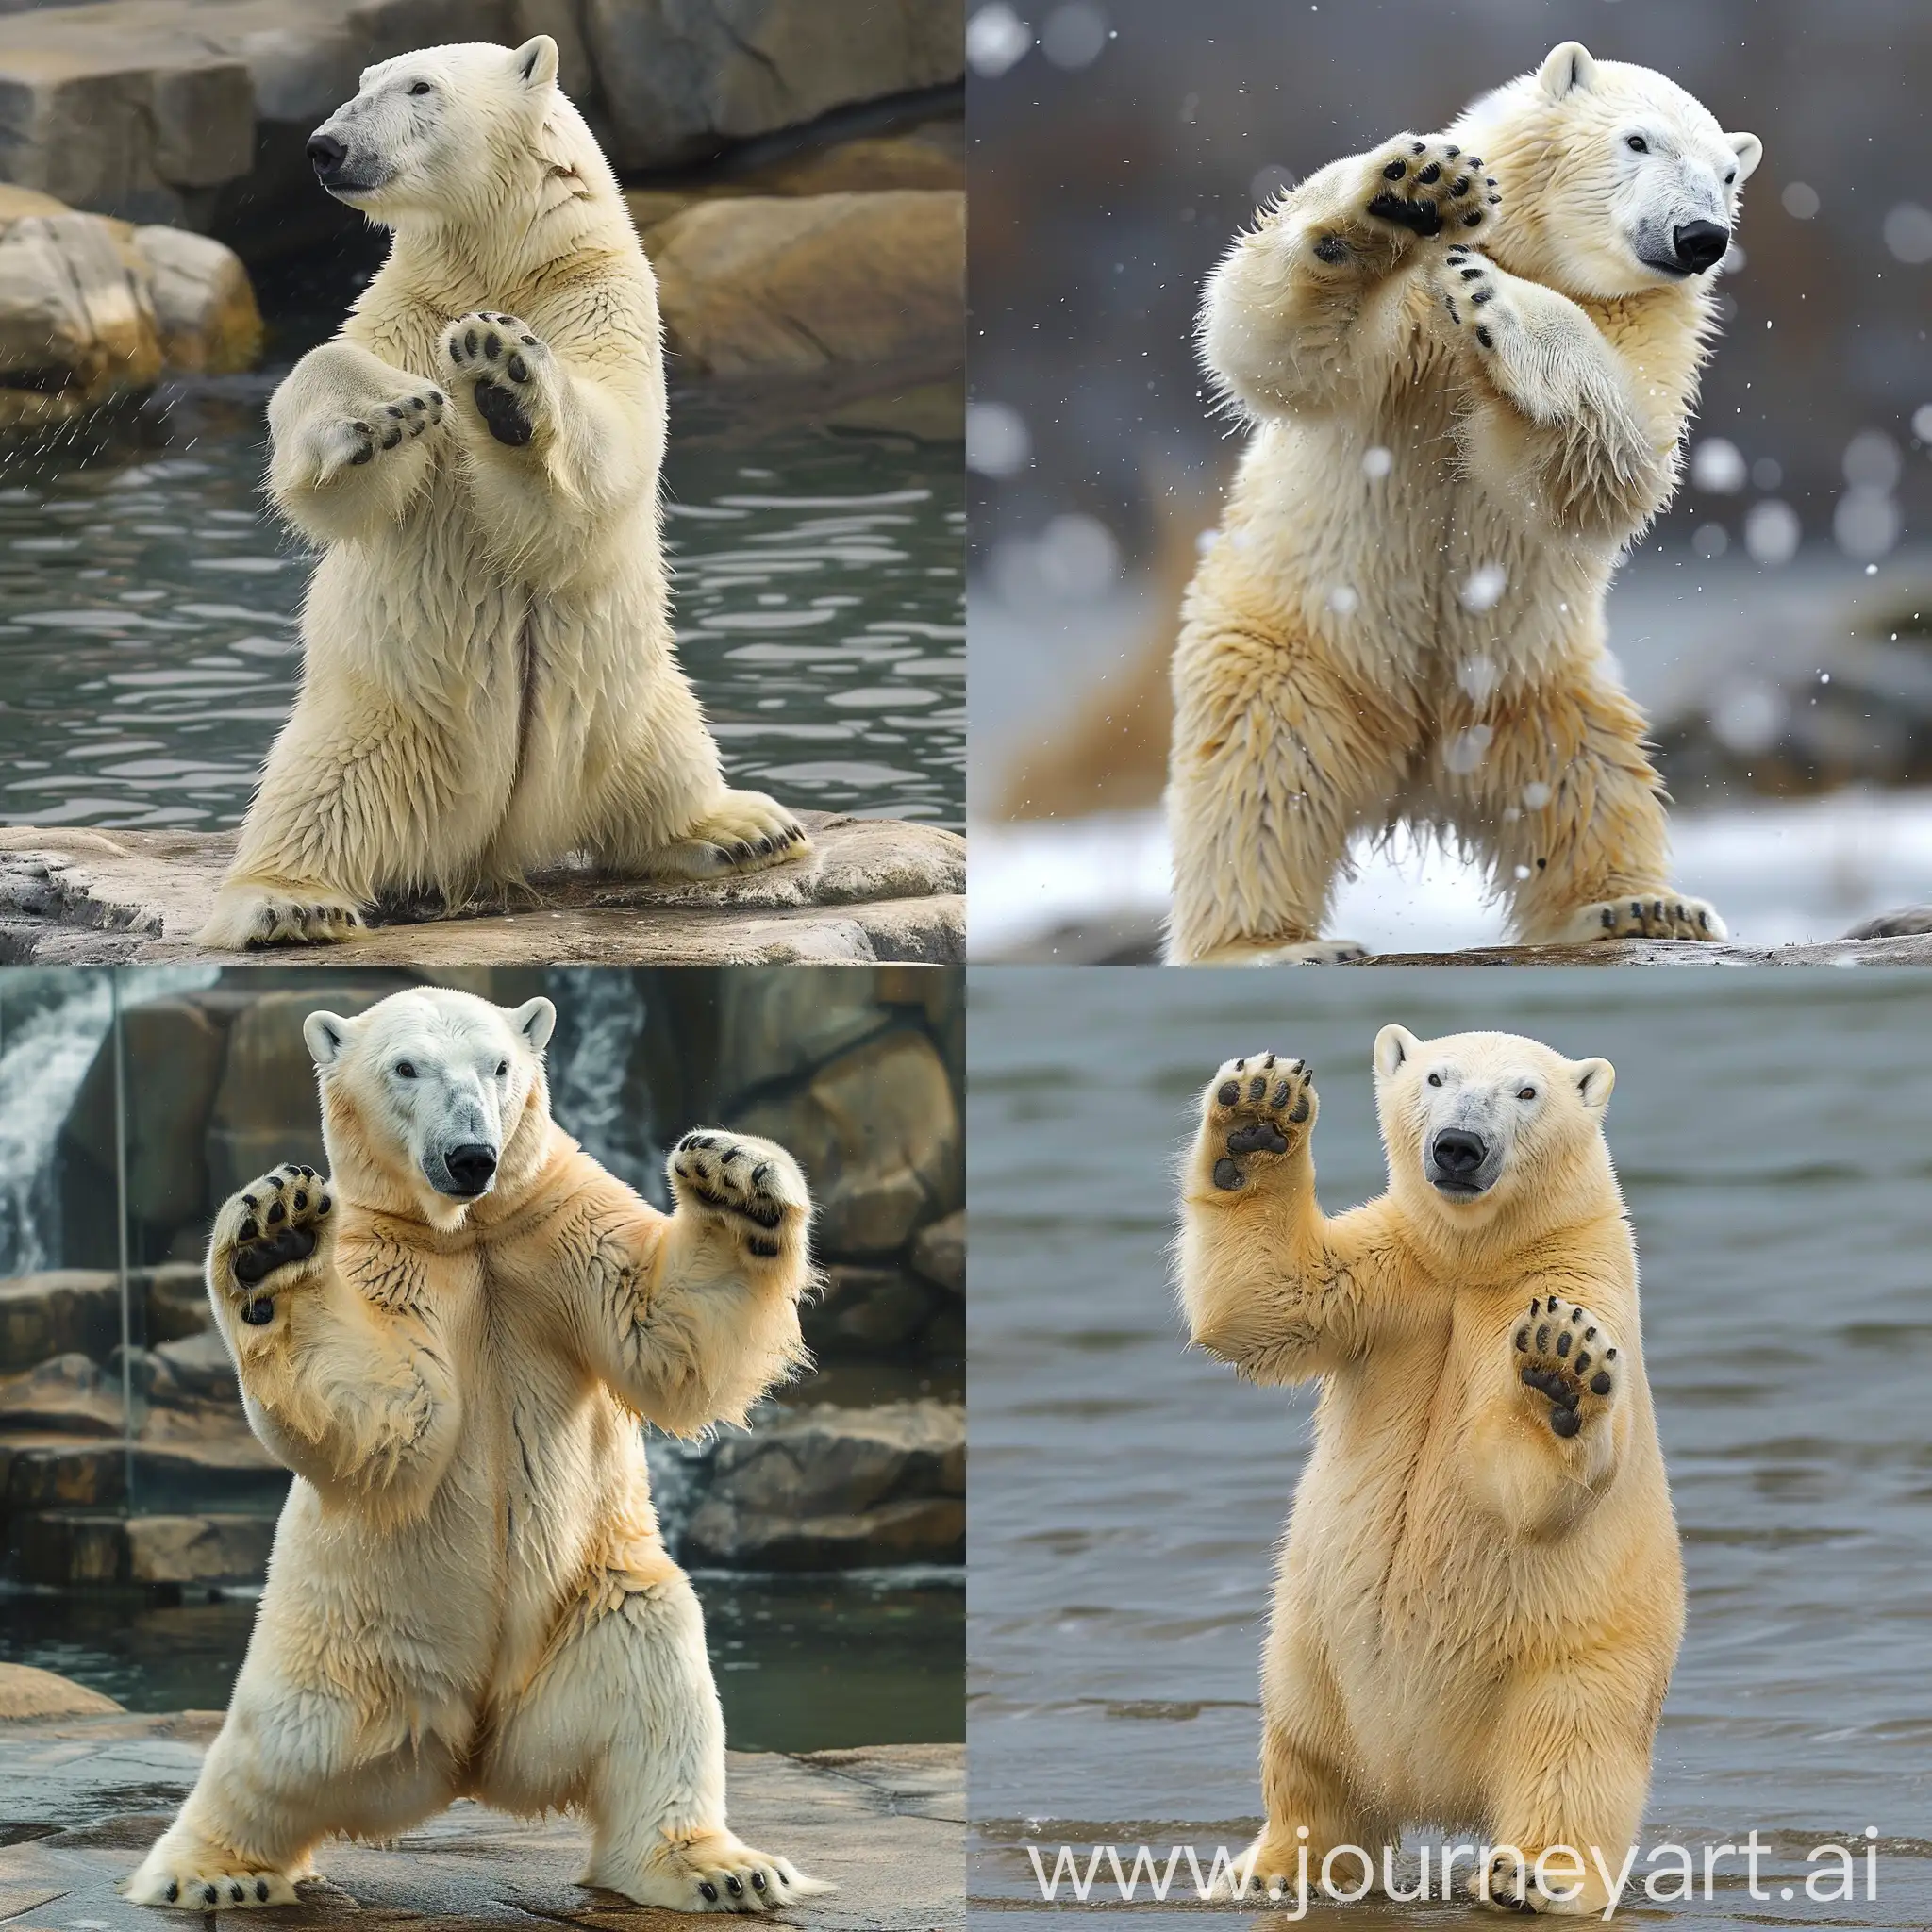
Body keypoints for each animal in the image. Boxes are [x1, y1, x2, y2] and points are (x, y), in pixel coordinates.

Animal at [121, 996, 830, 1916]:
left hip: (594, 1607)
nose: (471, 1156)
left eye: (499, 1066)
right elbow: (384, 1408)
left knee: (660, 1683)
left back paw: (718, 1868)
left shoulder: (561, 1224)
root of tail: (473, 1752)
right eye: (406, 1067)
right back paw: (211, 1873)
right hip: (342, 1642)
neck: (467, 1236)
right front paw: (273, 1238)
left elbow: (664, 1328)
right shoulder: (386, 1262)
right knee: (270, 1752)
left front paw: (734, 1179)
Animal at [206, 39, 815, 950]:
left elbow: (606, 446)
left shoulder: (601, 292)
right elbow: (337, 460)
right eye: (362, 83)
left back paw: (741, 828)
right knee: (316, 796)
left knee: (668, 765)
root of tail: (496, 844)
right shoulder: (407, 307)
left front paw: (501, 374)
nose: (324, 147)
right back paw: (289, 904)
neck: (505, 256)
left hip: (632, 702)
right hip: (374, 717)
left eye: (419, 86)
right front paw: (390, 413)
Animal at [1166, 48, 1761, 966]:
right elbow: (1279, 347)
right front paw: (1410, 193)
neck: (1538, 250)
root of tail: (1416, 772)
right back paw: (1270, 943)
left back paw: (1637, 906)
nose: (1701, 236)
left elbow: (1607, 463)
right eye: (1639, 140)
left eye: (1728, 175)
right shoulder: (1409, 333)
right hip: (1295, 650)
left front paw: (1497, 304)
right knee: (1261, 777)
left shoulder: (1651, 324)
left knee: (1592, 781)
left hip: (1539, 683)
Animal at [1166, 1035, 1684, 1908]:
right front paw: (1256, 1116)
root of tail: (1425, 1781)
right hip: (1309, 1649)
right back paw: (1278, 1867)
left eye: (1527, 1092)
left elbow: (1525, 1479)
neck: (1474, 1260)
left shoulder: (1579, 1277)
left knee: (1574, 1756)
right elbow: (1269, 1299)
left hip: (1577, 1654)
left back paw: (1534, 1875)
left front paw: (1560, 1371)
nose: (1458, 1147)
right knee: (1306, 1755)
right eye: (1436, 1076)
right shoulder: (1394, 1273)